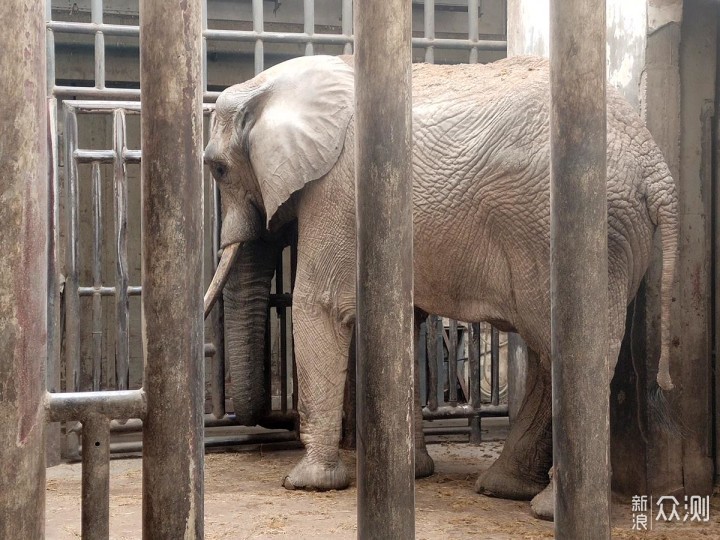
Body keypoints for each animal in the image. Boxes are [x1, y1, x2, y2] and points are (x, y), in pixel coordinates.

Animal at [204, 54, 680, 520]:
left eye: (219, 169)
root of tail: (656, 167)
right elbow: (399, 319)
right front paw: (409, 473)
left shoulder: (338, 191)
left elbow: (319, 305)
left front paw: (308, 482)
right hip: (614, 237)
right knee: (551, 356)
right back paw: (505, 489)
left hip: (573, 231)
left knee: (565, 351)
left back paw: (549, 508)